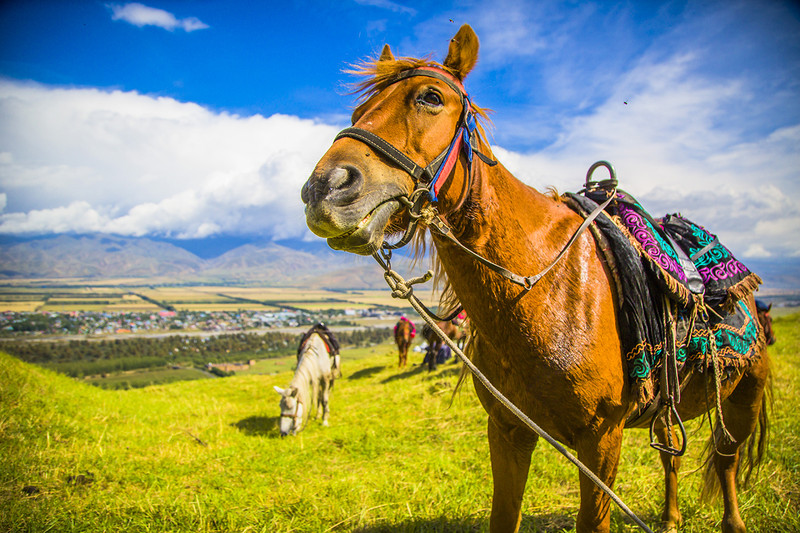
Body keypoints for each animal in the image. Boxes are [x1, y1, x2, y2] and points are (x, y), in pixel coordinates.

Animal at [304, 23, 772, 532]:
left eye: (430, 97)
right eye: (358, 112)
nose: (324, 188)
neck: (544, 289)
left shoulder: (601, 441)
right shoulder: (508, 430)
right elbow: (505, 515)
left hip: (746, 394)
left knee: (726, 457)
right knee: (672, 453)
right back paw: (669, 518)